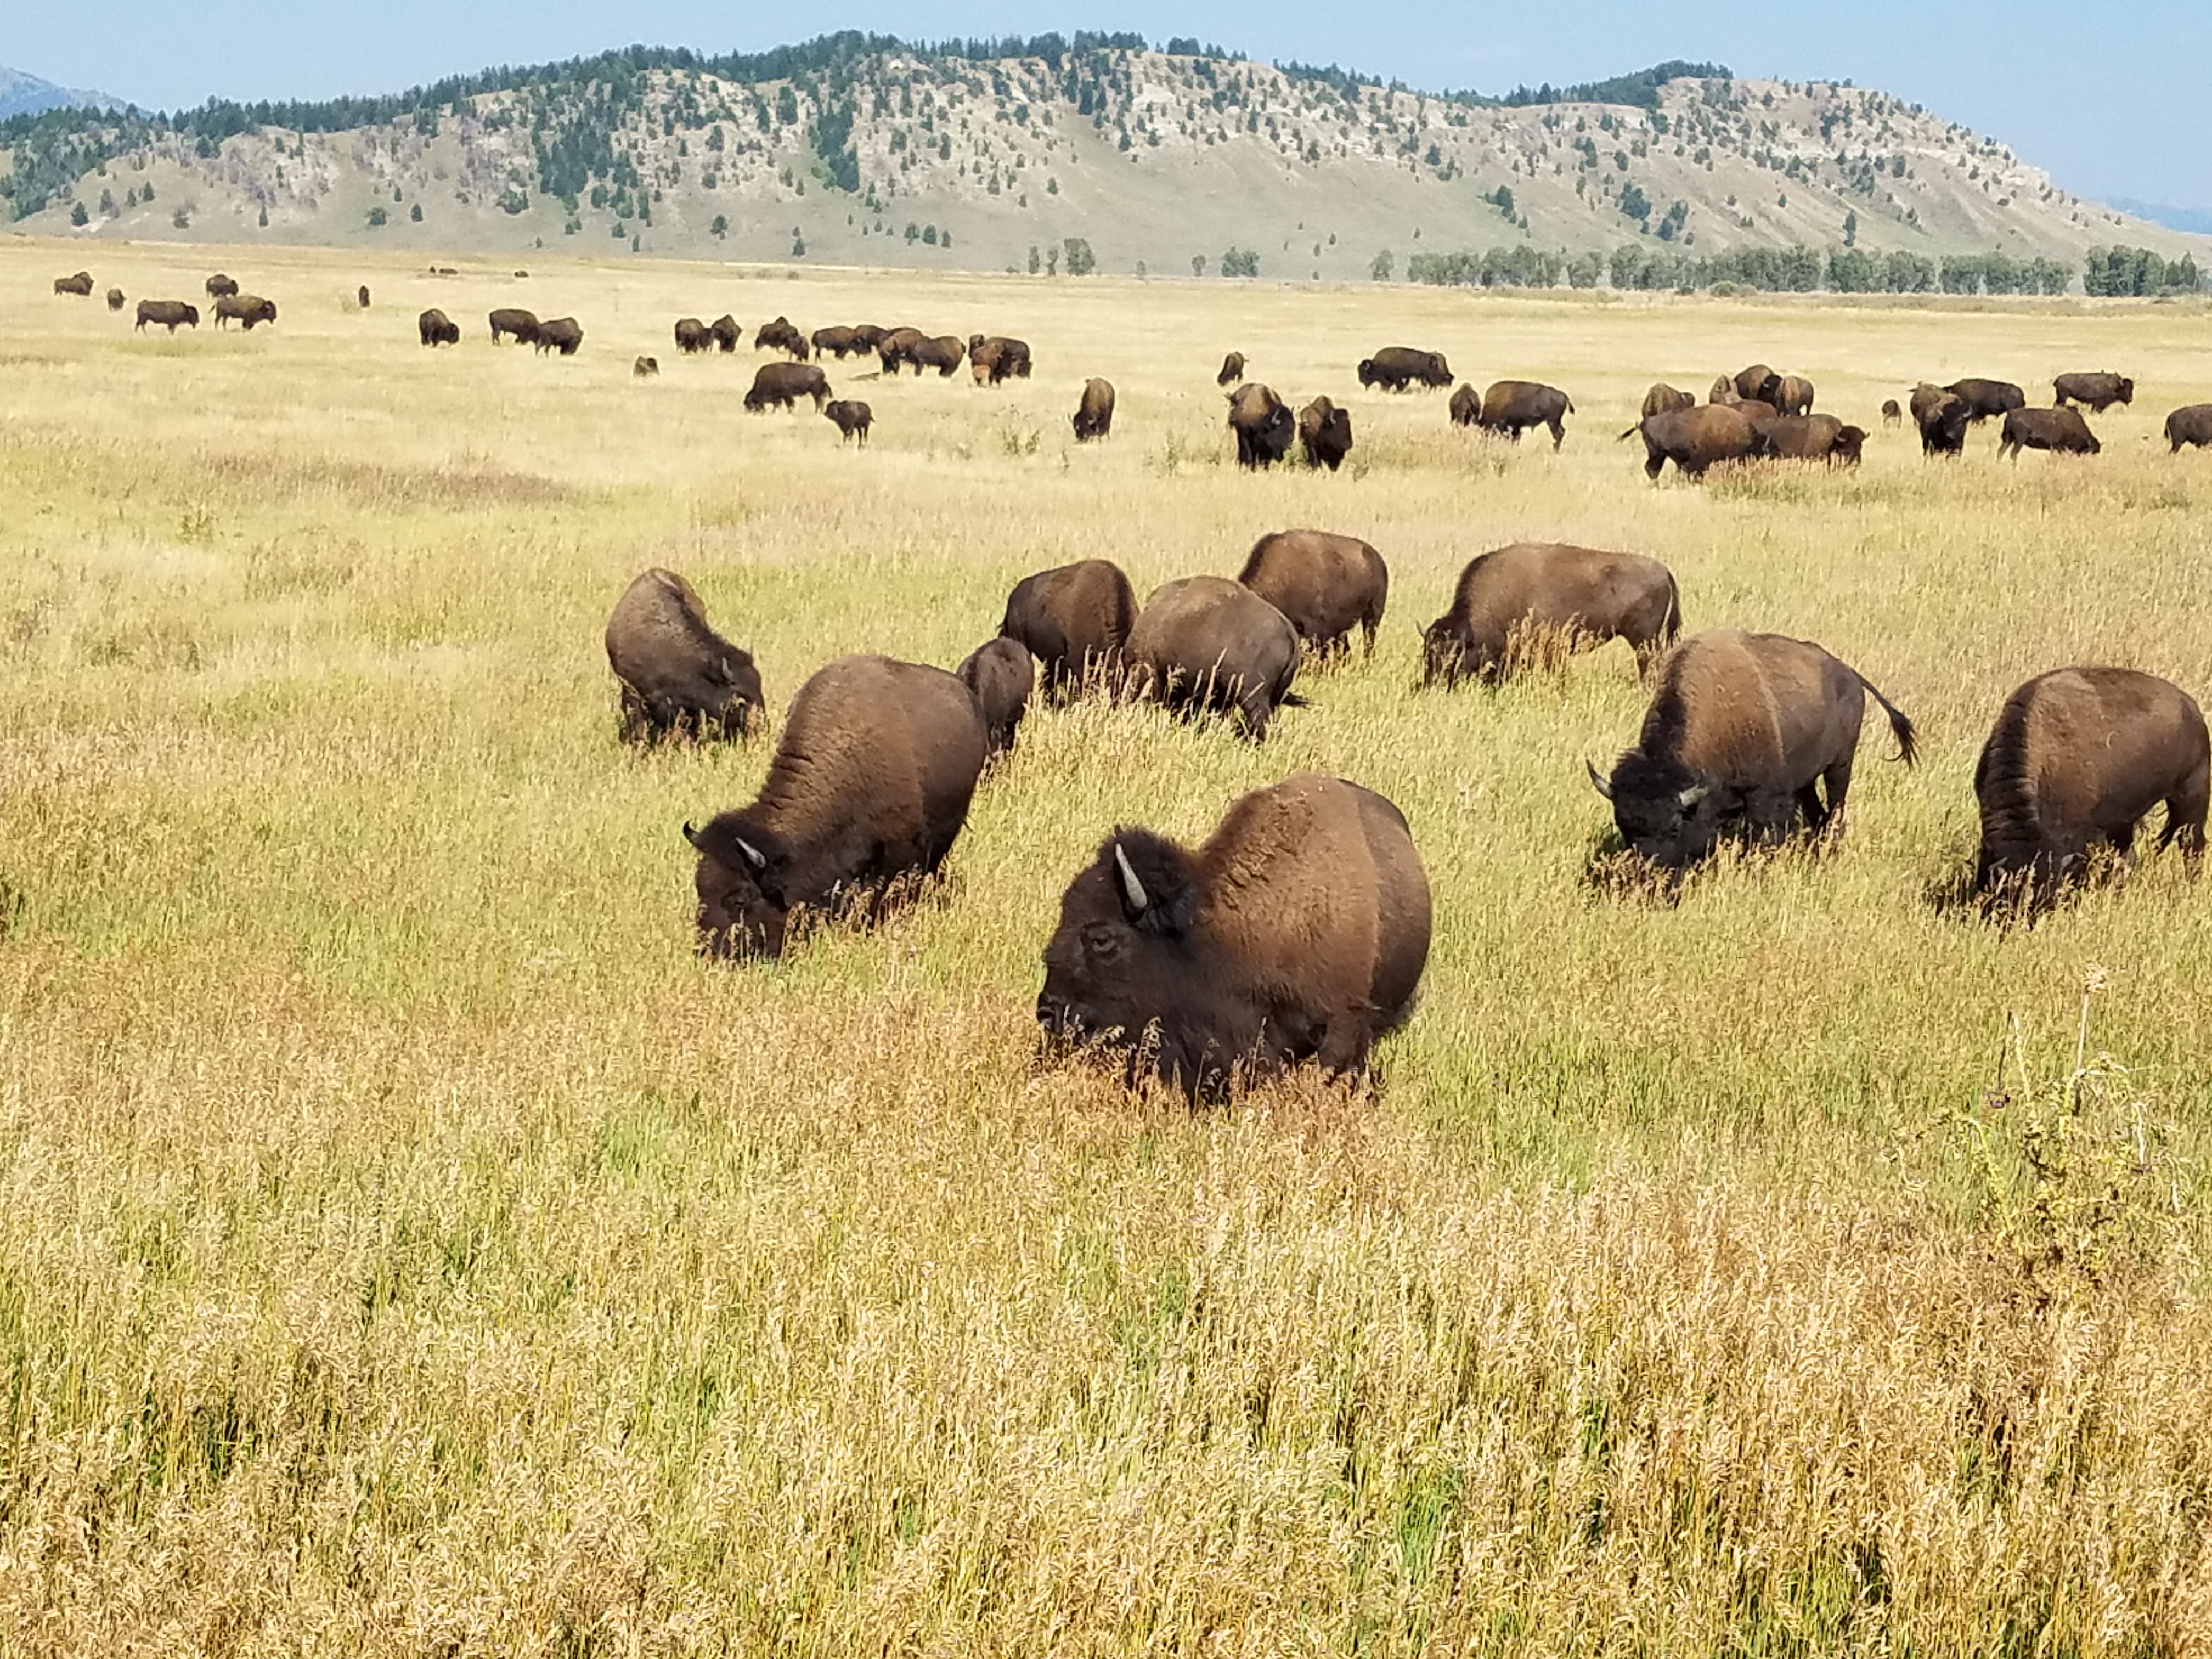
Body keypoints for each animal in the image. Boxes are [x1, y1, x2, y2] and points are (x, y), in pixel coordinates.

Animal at [745, 362, 831, 411]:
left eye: (750, 404)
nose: (748, 412)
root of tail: (822, 372)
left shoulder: (786, 395)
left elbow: (789, 405)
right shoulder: (778, 398)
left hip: (816, 393)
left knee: (819, 403)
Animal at [1473, 380, 1574, 449]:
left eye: (1484, 429)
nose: (1484, 440)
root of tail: (1563, 395)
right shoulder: (1516, 426)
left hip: (1552, 422)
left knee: (1558, 434)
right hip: (1556, 421)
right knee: (1562, 432)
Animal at [1590, 629, 1917, 869]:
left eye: (1674, 827)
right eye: (1624, 828)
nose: (1648, 873)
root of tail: (1850, 675)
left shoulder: (1762, 796)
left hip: (1839, 766)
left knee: (1836, 810)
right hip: (1806, 782)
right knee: (1818, 814)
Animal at [1998, 406, 2099, 460]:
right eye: (2091, 452)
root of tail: (2011, 413)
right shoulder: (2059, 447)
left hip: (2008, 439)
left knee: (2001, 451)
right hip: (2019, 441)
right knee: (2013, 454)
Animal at [2053, 372, 2133, 413]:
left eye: (2131, 388)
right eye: (2124, 389)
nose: (2130, 399)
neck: (2116, 386)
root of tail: (2058, 379)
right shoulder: (2099, 404)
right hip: (2063, 398)